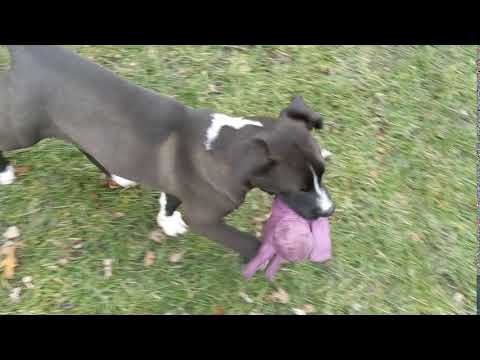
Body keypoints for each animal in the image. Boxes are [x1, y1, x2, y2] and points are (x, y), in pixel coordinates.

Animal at [0, 46, 334, 262]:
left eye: (322, 173)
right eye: (298, 189)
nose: (329, 211)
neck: (229, 143)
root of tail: (30, 53)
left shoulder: (180, 183)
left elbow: (171, 198)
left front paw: (167, 221)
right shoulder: (205, 218)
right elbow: (247, 241)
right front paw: (266, 256)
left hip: (75, 128)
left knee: (88, 146)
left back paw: (118, 176)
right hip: (24, 130)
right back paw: (4, 172)